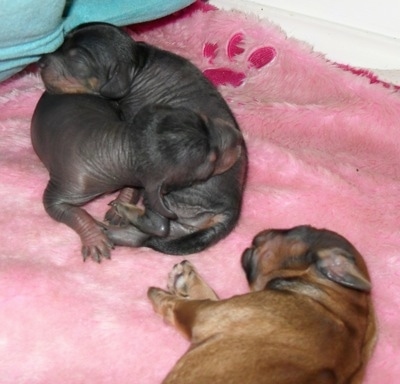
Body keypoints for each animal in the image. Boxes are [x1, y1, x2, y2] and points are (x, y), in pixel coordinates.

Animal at [148, 226, 376, 382]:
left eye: (296, 230)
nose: (261, 233)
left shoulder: (209, 314)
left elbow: (179, 305)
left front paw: (161, 295)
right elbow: (208, 295)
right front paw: (187, 280)